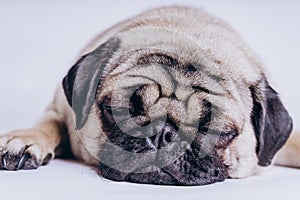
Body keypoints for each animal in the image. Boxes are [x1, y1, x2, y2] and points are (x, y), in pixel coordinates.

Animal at [0, 5, 300, 186]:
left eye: (218, 132)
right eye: (119, 112)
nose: (162, 133)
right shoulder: (60, 108)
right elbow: (49, 124)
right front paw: (25, 139)